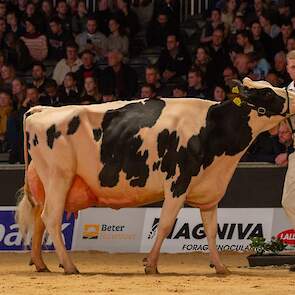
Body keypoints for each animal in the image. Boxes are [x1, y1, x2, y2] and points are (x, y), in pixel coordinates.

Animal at [16, 78, 295, 276]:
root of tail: (42, 109)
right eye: (267, 92)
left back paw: (41, 264)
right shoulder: (177, 183)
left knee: (39, 220)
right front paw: (150, 264)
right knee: (51, 218)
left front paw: (220, 267)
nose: (292, 95)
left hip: (46, 182)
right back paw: (69, 265)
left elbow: (212, 231)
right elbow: (165, 224)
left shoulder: (209, 190)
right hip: (58, 177)